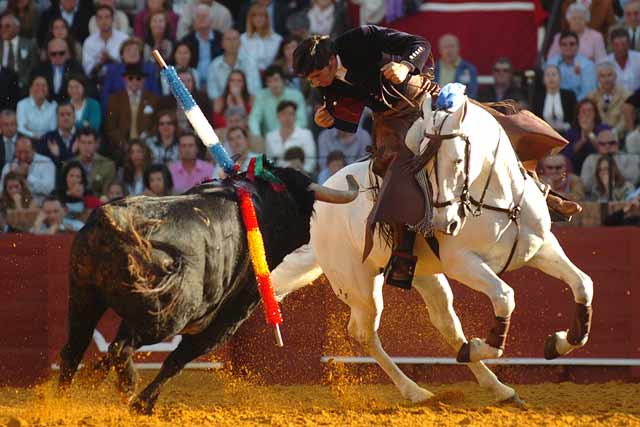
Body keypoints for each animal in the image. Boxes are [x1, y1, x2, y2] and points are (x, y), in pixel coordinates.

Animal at [59, 167, 358, 414]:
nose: (311, 236)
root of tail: (116, 222)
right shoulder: (224, 323)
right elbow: (176, 361)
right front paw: (144, 404)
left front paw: (92, 381)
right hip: (164, 318)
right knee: (121, 348)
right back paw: (128, 387)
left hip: (84, 295)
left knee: (74, 350)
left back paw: (61, 401)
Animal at [268, 88, 592, 402]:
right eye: (424, 161)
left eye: (459, 160)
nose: (444, 222)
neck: (500, 202)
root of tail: (320, 196)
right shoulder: (463, 263)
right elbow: (505, 296)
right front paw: (479, 346)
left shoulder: (542, 247)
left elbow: (583, 284)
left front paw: (560, 342)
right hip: (358, 284)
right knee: (364, 333)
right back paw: (416, 391)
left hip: (424, 274)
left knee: (446, 322)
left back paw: (499, 388)